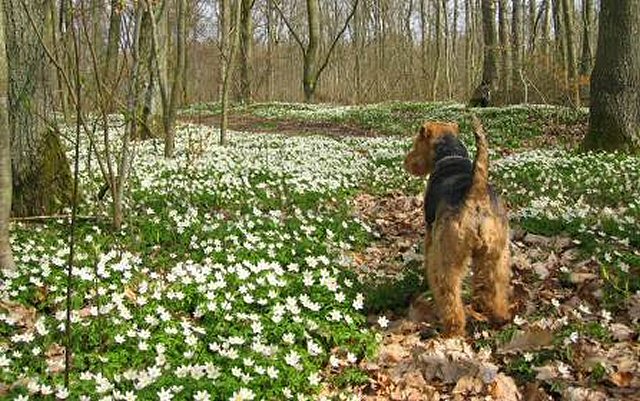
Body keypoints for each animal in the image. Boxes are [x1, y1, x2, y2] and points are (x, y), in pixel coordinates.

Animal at [404, 117, 510, 336]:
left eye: (417, 143)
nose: (406, 162)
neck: (450, 155)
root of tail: (475, 192)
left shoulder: (430, 235)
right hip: (497, 253)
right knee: (496, 285)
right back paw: (499, 315)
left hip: (449, 257)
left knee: (450, 295)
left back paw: (452, 329)